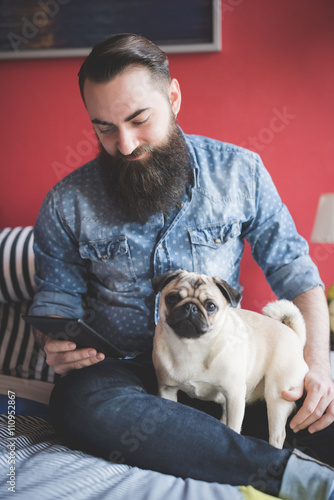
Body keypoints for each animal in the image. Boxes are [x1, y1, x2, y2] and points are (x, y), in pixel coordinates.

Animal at [151, 270, 308, 450]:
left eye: (211, 306)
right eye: (172, 298)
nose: (190, 307)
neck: (192, 346)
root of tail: (295, 335)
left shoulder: (234, 394)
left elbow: (233, 427)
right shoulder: (167, 390)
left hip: (276, 395)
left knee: (277, 433)